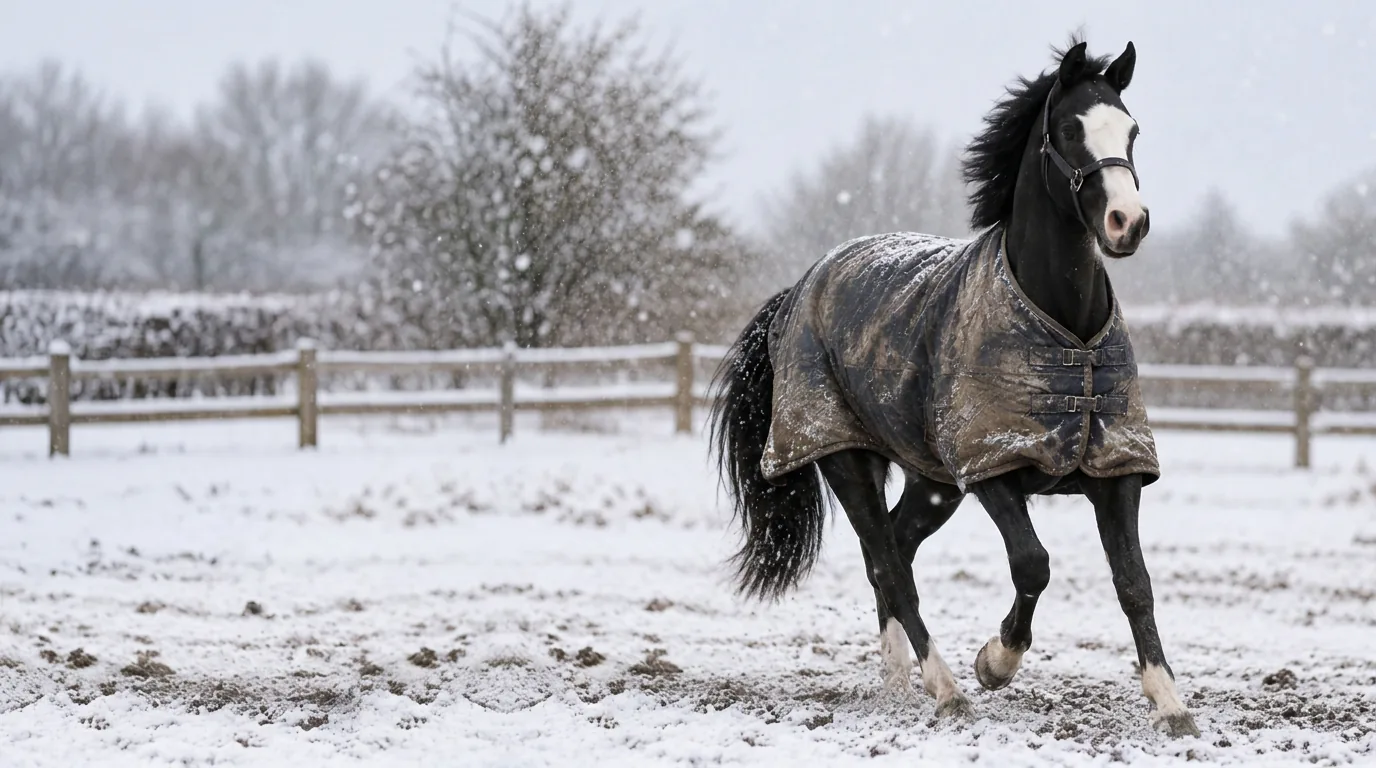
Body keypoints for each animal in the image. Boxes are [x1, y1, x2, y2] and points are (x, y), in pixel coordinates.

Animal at [708, 38, 1201, 739]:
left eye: (1131, 130)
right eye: (1069, 130)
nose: (1126, 222)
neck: (1064, 331)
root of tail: (802, 285)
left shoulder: (1116, 468)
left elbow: (1135, 580)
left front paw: (1170, 702)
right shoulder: (991, 468)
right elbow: (1033, 563)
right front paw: (995, 662)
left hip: (931, 483)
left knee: (894, 549)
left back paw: (896, 678)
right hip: (844, 457)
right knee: (888, 561)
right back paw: (943, 689)